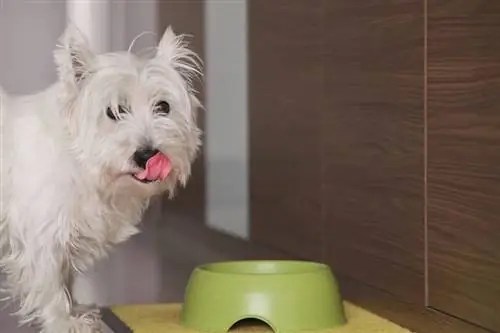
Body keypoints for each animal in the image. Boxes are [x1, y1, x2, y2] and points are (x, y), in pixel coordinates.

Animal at [0, 22, 203, 330]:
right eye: (114, 111)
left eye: (163, 107)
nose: (147, 154)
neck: (80, 163)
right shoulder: (43, 233)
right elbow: (50, 283)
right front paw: (63, 321)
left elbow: (65, 278)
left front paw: (76, 309)